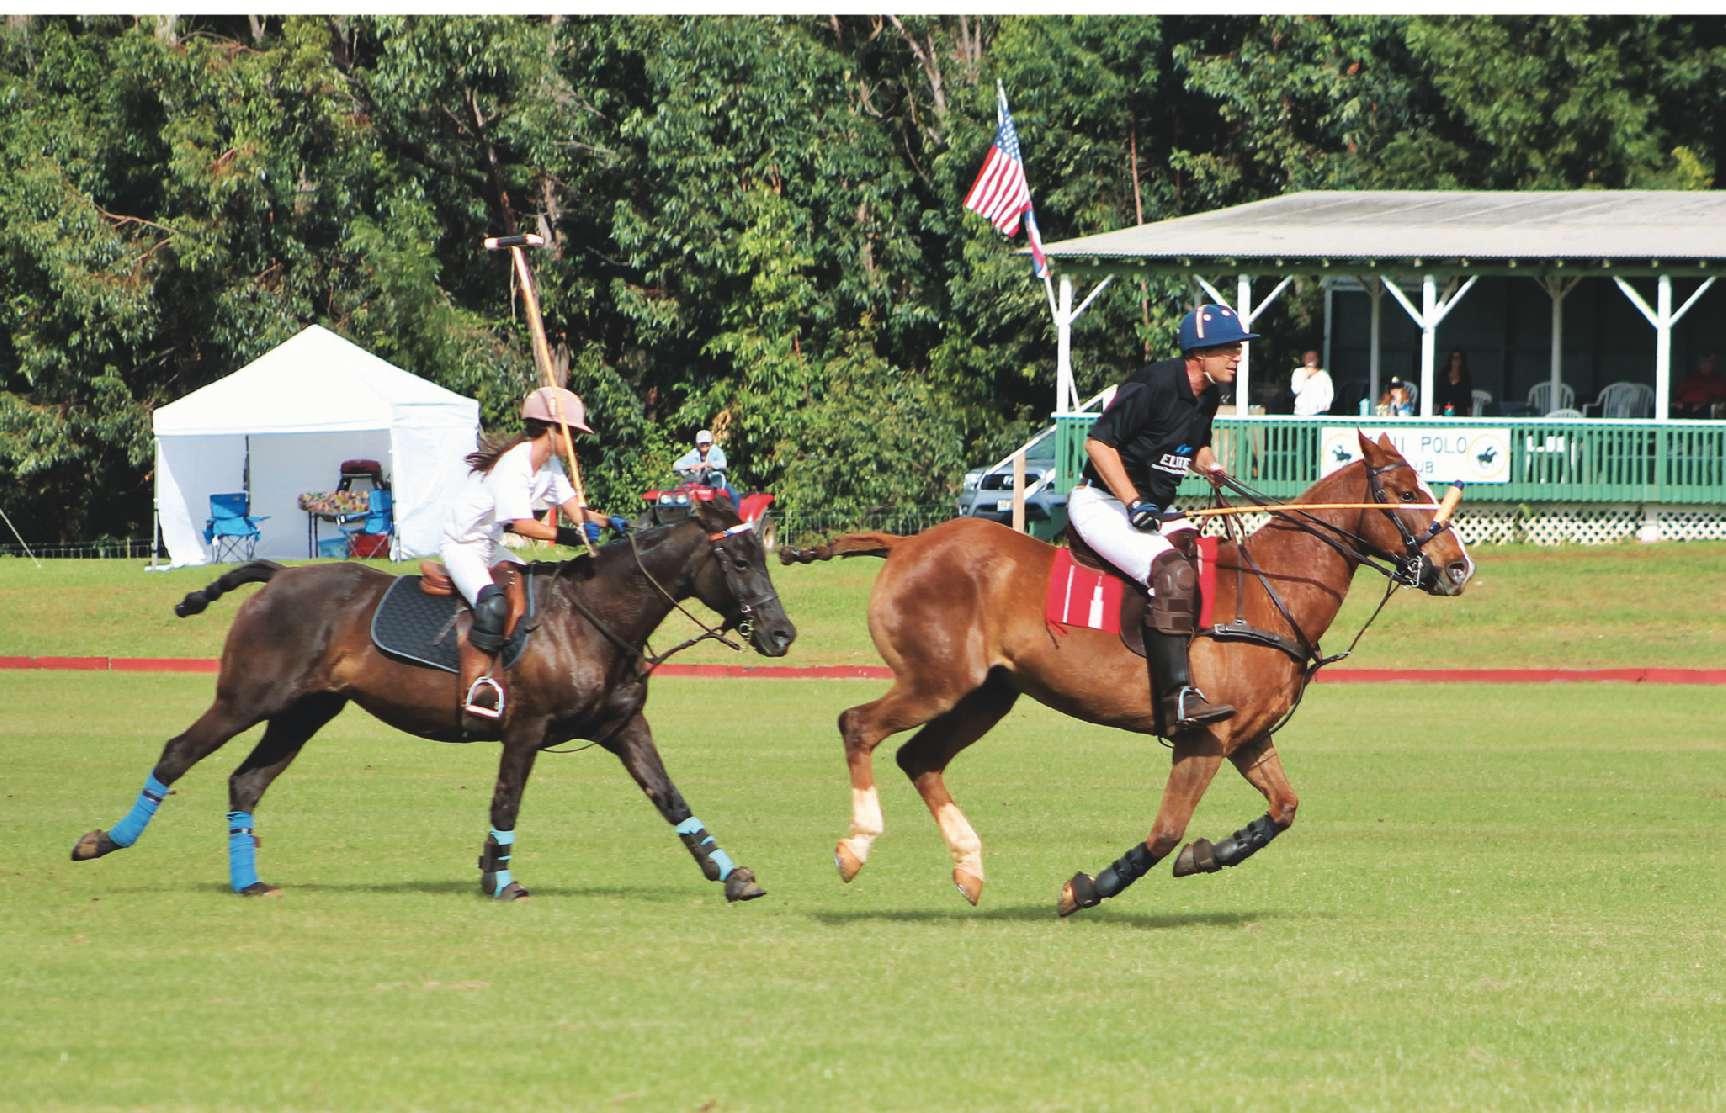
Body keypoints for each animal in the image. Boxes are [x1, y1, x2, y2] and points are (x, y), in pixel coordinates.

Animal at [71, 499, 796, 902]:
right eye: (737, 562)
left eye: (762, 556)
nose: (783, 634)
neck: (594, 619)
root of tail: (278, 575)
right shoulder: (525, 729)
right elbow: (506, 802)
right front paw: (501, 880)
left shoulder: (623, 726)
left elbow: (671, 798)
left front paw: (732, 874)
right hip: (248, 695)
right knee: (179, 751)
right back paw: (103, 840)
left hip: (306, 710)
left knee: (245, 780)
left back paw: (248, 881)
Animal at [781, 433, 1475, 916]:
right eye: (1405, 493)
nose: (1458, 567)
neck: (1268, 590)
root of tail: (905, 545)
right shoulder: (1204, 736)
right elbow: (1166, 832)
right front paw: (1086, 887)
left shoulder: (1247, 737)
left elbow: (1284, 808)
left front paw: (1209, 854)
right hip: (936, 681)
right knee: (857, 725)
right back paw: (855, 848)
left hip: (986, 695)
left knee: (919, 758)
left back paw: (968, 869)